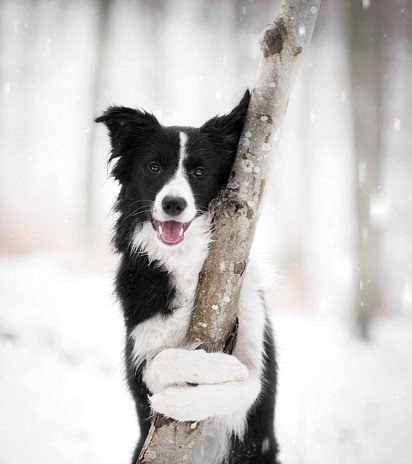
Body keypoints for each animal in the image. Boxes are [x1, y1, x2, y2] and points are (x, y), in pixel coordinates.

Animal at [96, 91, 280, 464]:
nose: (173, 204)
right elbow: (159, 364)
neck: (186, 262)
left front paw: (204, 388)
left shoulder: (257, 357)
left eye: (199, 172)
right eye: (154, 167)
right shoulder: (139, 354)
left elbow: (249, 382)